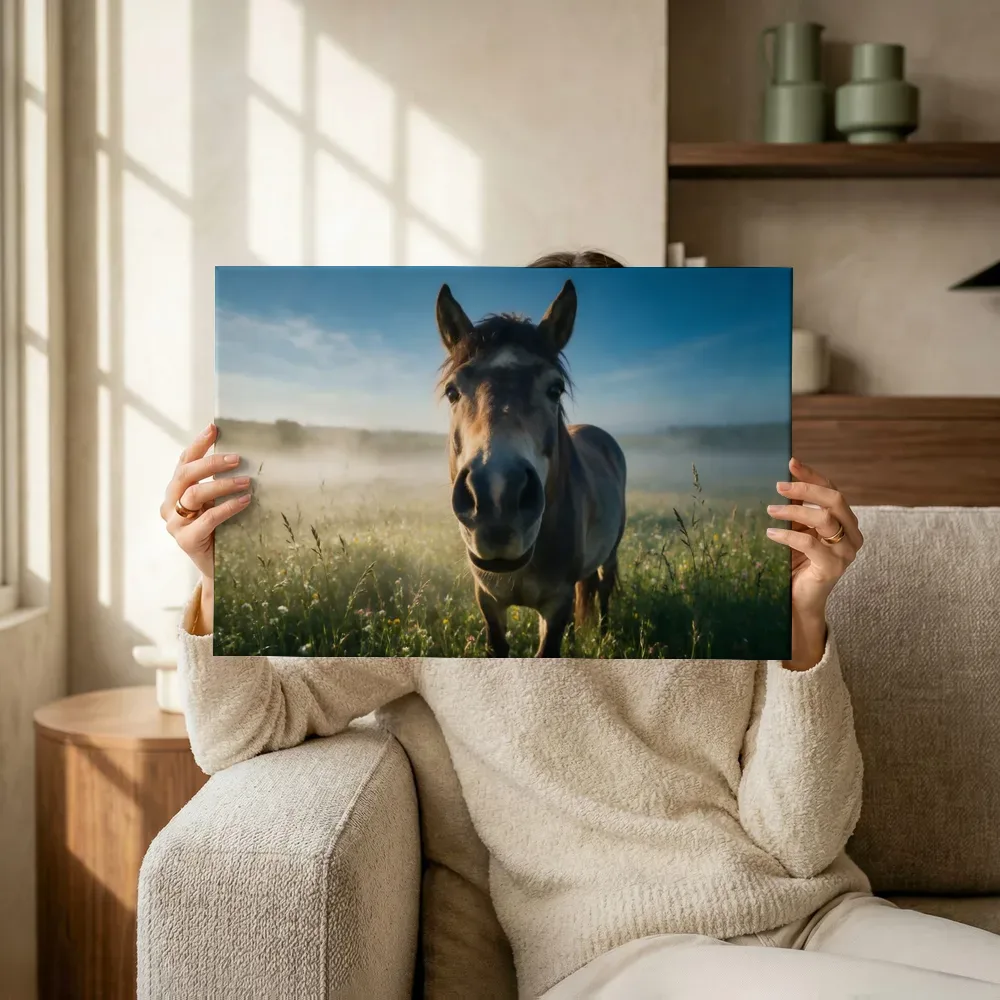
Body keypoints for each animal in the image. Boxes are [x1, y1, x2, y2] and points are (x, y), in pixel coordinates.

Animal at [435, 279, 627, 657]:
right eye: (452, 392)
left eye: (556, 389)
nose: (497, 496)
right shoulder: (488, 600)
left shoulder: (555, 605)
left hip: (610, 554)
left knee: (603, 589)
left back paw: (604, 635)